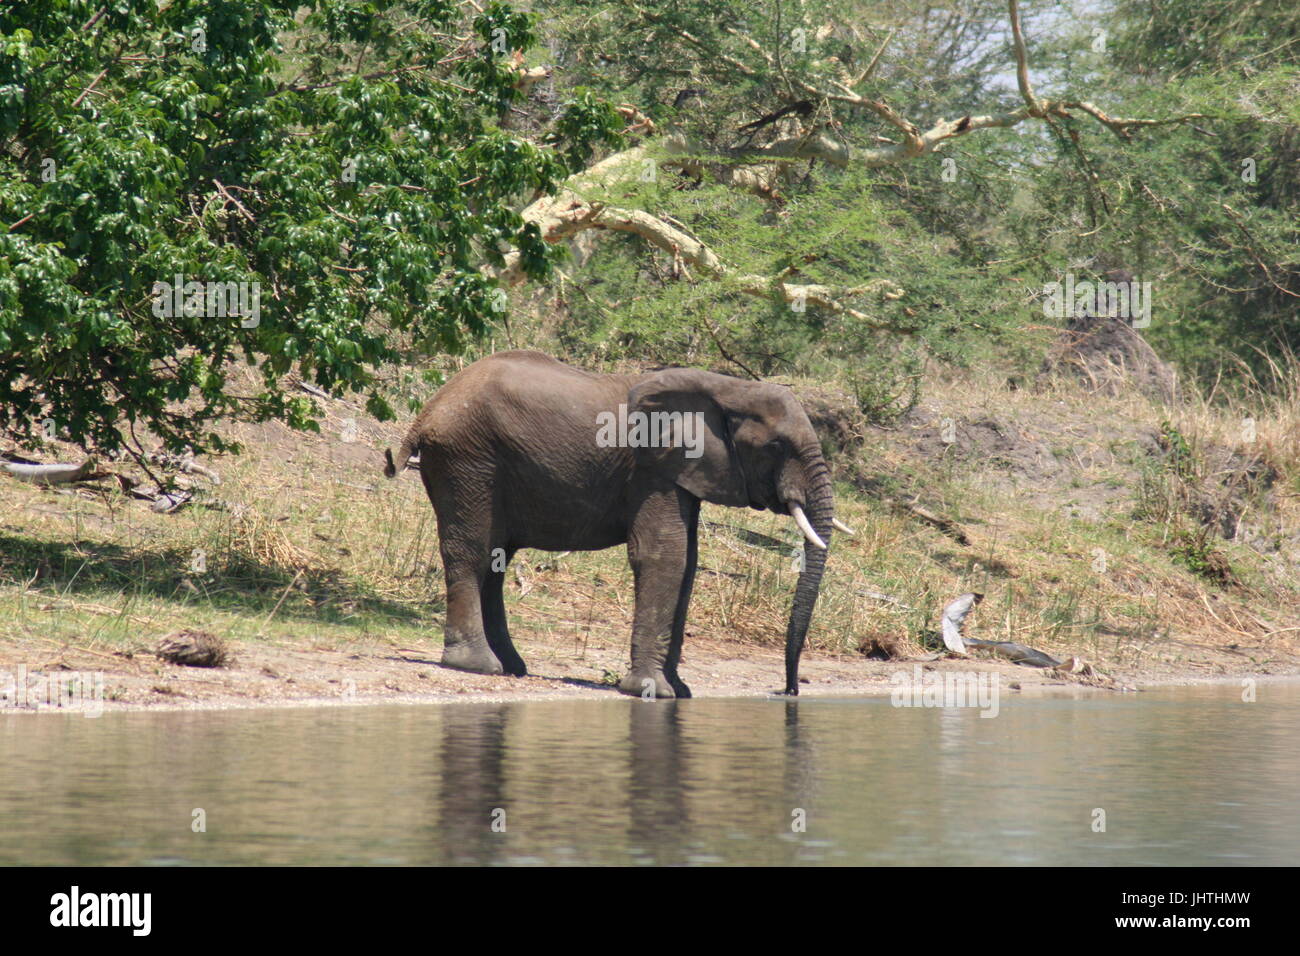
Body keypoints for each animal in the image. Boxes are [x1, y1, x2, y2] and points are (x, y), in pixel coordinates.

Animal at [379, 351, 847, 697]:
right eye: (776, 446)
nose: (788, 691)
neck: (726, 387)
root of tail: (427, 409)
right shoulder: (652, 470)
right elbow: (664, 556)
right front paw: (652, 691)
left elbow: (688, 563)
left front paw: (679, 691)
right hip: (467, 459)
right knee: (474, 550)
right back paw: (477, 666)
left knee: (496, 559)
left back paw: (513, 668)